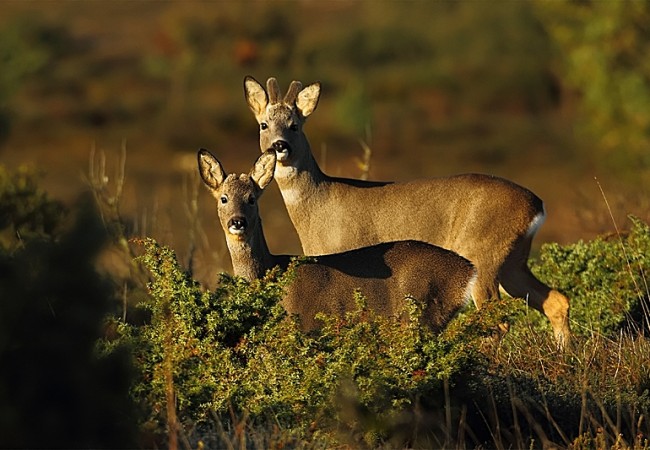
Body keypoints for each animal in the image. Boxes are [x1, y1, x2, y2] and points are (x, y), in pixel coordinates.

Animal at [197, 149, 476, 332]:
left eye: (252, 198)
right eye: (223, 198)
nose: (238, 222)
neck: (271, 273)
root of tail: (469, 271)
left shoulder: (306, 325)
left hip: (421, 313)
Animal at [242, 75, 568, 348]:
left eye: (295, 124)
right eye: (263, 125)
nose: (279, 146)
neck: (319, 203)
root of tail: (537, 205)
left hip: (483, 254)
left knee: (498, 321)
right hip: (512, 261)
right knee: (556, 301)